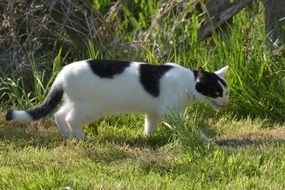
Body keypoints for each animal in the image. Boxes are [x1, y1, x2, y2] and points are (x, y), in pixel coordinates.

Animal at [5, 59, 229, 140]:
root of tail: (62, 72)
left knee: (59, 115)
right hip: (91, 107)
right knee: (69, 118)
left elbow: (150, 125)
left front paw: (147, 138)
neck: (188, 82)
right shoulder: (170, 111)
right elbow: (186, 126)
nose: (226, 102)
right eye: (217, 92)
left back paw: (68, 136)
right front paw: (201, 138)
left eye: (226, 92)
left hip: (75, 102)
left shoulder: (153, 111)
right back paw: (80, 136)